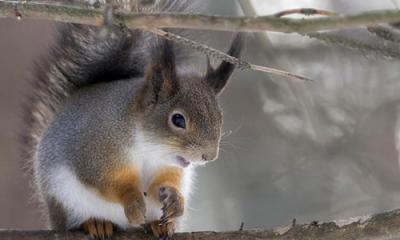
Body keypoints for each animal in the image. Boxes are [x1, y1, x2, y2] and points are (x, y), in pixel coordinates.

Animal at [21, 0, 244, 238]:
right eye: (178, 120)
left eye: (220, 116)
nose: (209, 156)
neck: (148, 147)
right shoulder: (94, 155)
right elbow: (109, 184)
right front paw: (134, 204)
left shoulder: (169, 167)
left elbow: (166, 183)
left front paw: (175, 200)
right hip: (66, 204)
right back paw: (96, 224)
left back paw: (160, 225)